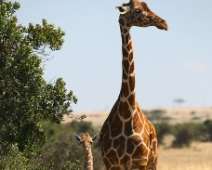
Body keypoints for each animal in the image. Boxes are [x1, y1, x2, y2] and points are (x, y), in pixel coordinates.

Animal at [99, 0, 167, 169]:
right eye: (137, 11)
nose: (164, 23)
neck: (126, 114)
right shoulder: (111, 162)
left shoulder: (139, 161)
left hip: (152, 162)